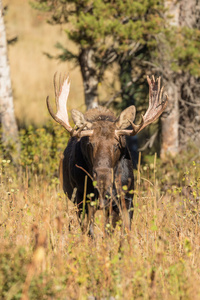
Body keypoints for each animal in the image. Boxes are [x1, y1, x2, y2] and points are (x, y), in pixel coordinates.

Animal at [46, 74, 167, 236]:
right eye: (90, 144)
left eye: (116, 145)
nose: (102, 175)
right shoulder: (82, 199)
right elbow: (89, 232)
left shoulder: (126, 199)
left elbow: (120, 231)